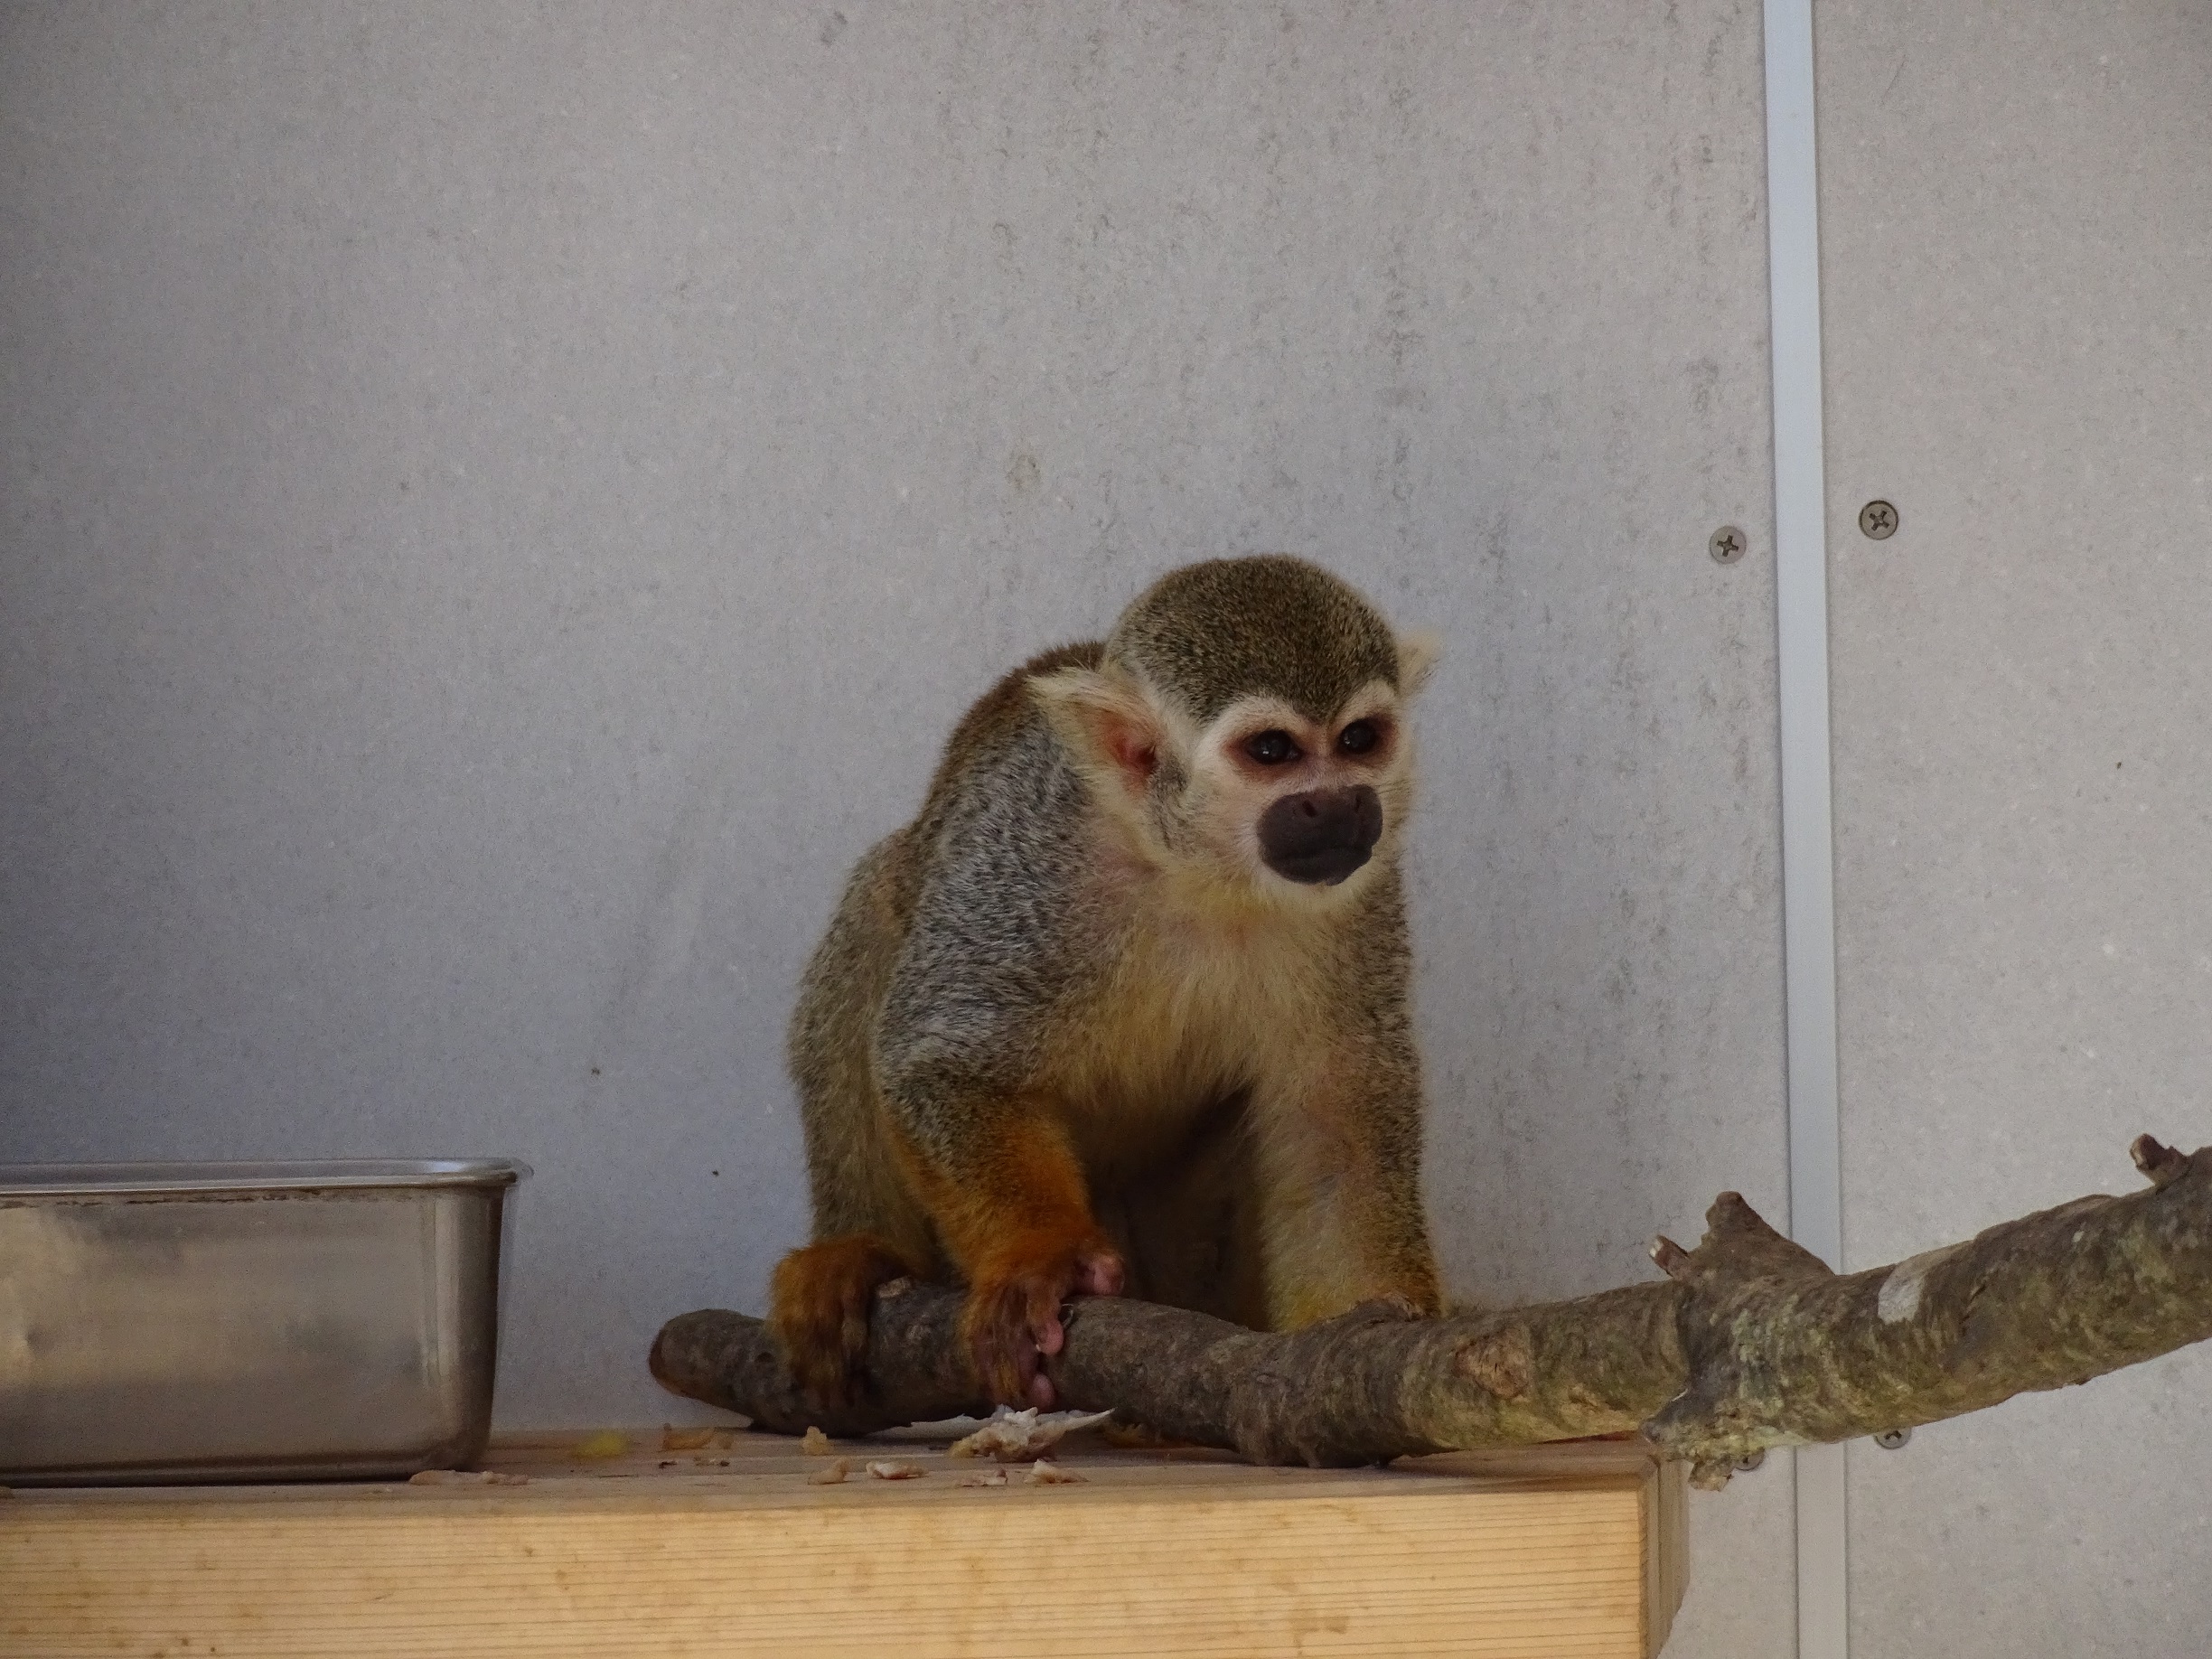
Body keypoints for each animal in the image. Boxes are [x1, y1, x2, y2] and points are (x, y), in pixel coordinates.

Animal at [769, 555, 1442, 1406]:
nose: (1341, 805)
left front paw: (1370, 1337)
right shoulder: (1031, 866)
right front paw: (1043, 1255)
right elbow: (940, 1059)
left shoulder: (1361, 901)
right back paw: (858, 1251)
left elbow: (1331, 1133)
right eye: (1272, 752)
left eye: (1359, 739)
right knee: (879, 902)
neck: (1200, 874)